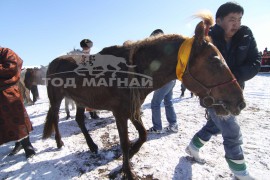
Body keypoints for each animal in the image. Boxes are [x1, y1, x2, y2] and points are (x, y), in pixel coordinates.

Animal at [42, 14, 247, 179]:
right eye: (214, 60)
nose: (239, 103)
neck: (131, 71)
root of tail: (53, 62)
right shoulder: (120, 113)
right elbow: (124, 143)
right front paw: (127, 171)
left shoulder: (133, 110)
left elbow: (142, 136)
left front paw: (128, 158)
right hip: (56, 98)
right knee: (54, 117)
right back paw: (59, 142)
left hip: (80, 100)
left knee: (79, 120)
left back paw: (92, 146)